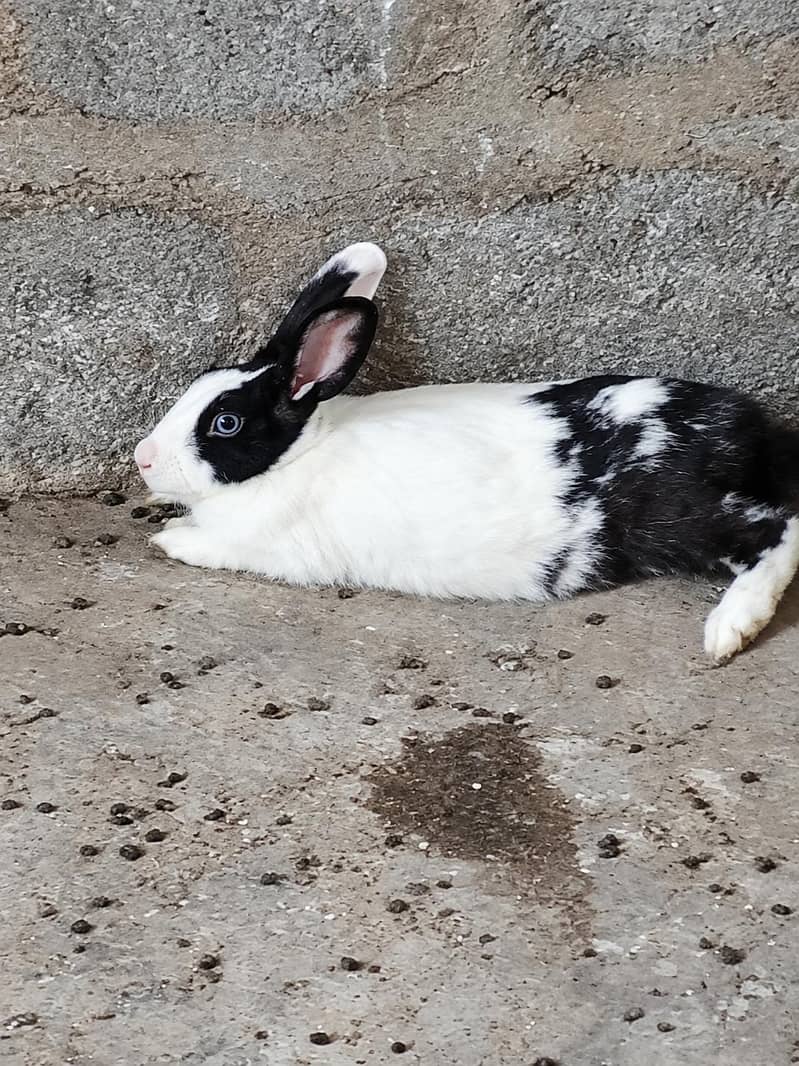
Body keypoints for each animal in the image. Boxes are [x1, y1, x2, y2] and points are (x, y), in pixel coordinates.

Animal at [134, 241, 799, 663]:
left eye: (224, 422)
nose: (142, 458)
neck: (296, 454)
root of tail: (751, 427)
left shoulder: (272, 548)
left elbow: (211, 545)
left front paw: (170, 540)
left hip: (678, 515)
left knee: (780, 530)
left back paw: (729, 630)